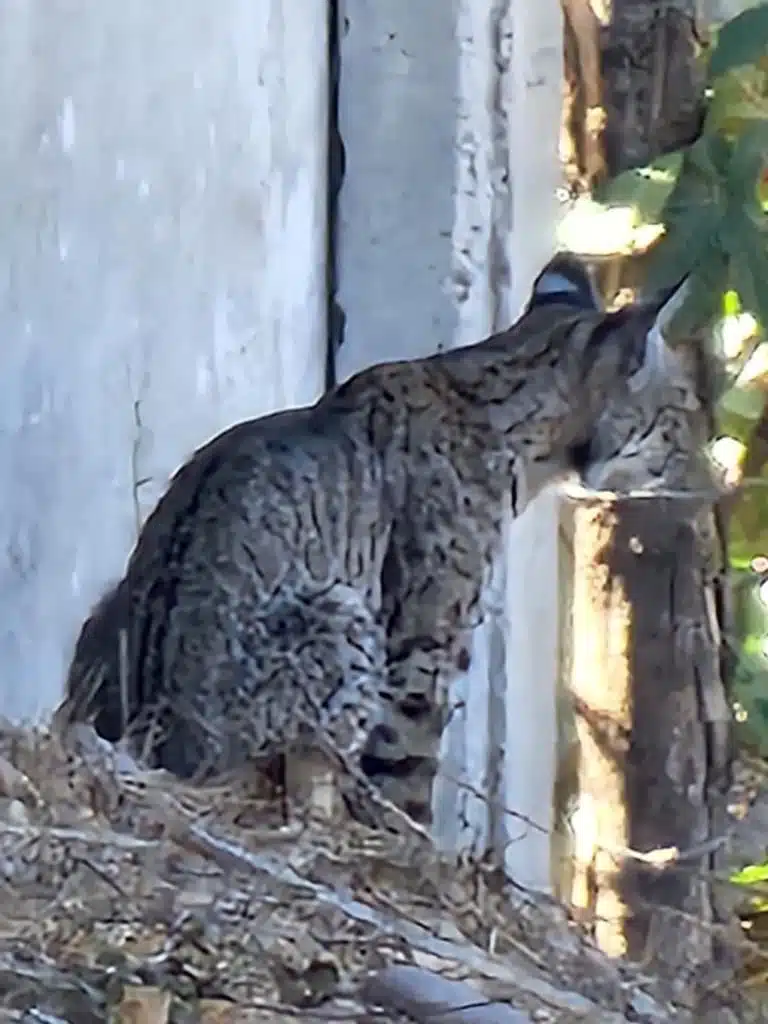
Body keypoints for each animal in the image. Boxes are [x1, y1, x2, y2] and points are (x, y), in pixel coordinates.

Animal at [55, 253, 692, 823]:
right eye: (681, 413)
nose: (697, 463)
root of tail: (151, 736)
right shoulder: (427, 637)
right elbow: (409, 759)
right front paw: (410, 841)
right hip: (340, 610)